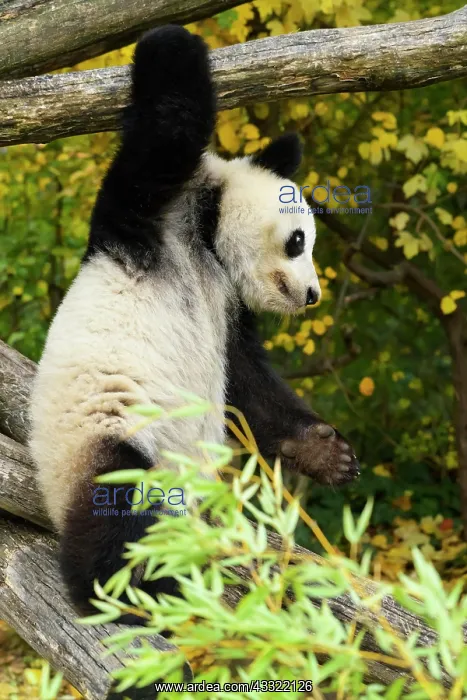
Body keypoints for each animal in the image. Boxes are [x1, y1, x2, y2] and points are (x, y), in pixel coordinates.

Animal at [29, 26, 360, 616]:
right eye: (299, 240)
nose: (313, 295)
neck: (206, 238)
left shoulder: (227, 308)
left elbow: (247, 384)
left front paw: (328, 452)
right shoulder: (147, 214)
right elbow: (170, 128)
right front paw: (172, 40)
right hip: (100, 431)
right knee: (114, 509)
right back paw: (130, 587)